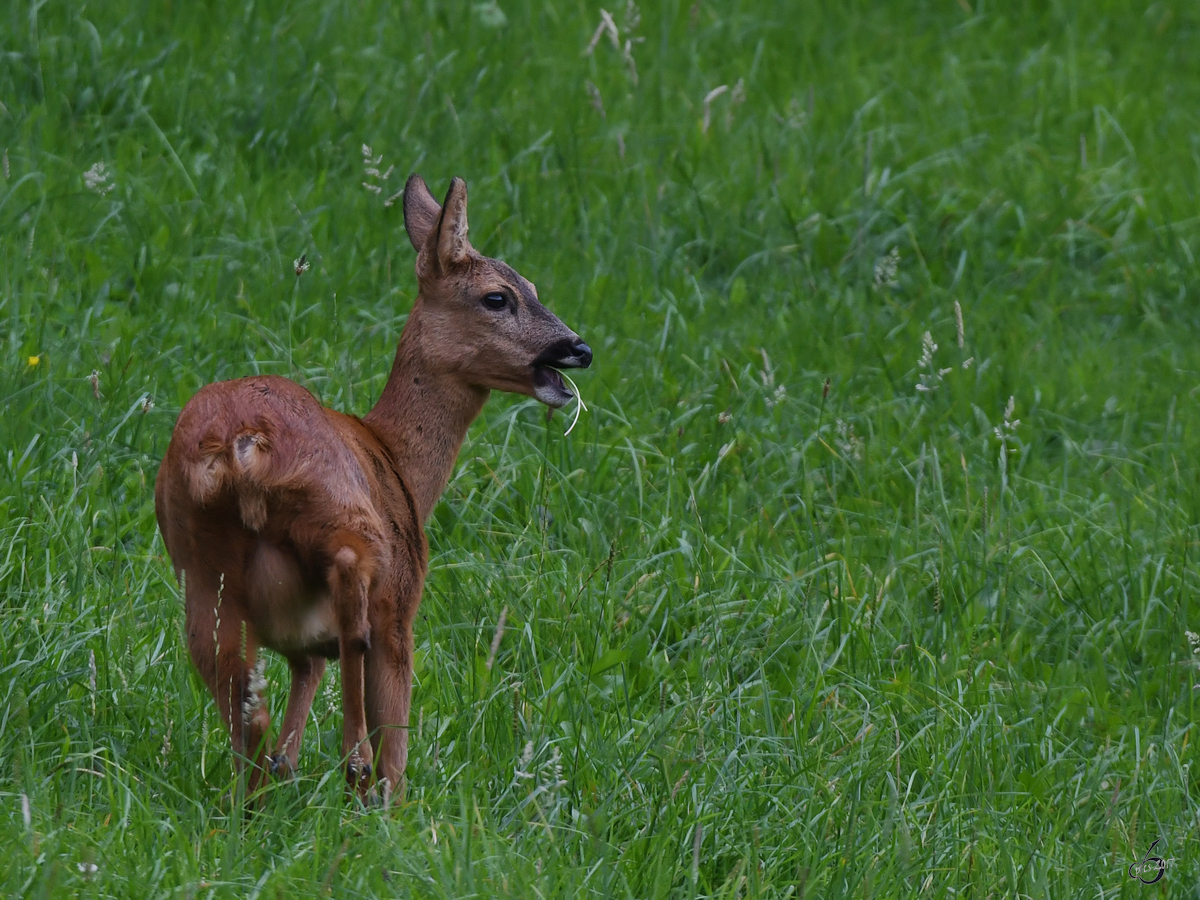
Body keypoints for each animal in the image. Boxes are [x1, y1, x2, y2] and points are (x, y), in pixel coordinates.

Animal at [157, 176, 592, 801]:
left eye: (532, 286)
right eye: (497, 297)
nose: (578, 349)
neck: (398, 461)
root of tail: (242, 441)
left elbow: (303, 678)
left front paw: (293, 766)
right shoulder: (403, 603)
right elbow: (397, 736)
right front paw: (389, 798)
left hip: (199, 560)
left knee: (239, 693)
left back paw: (263, 790)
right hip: (343, 518)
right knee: (350, 600)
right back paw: (354, 760)